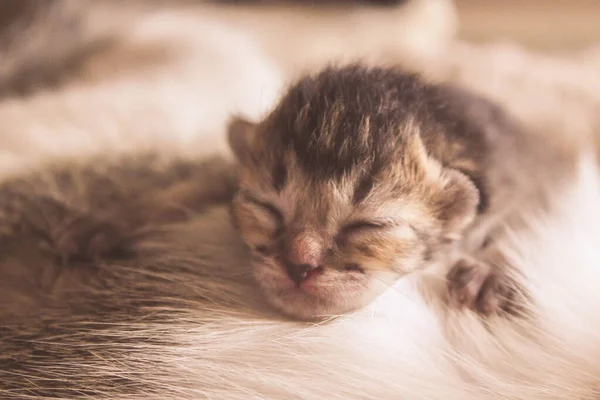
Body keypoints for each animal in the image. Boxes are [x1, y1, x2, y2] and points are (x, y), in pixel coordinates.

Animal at [227, 64, 556, 320]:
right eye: (266, 208)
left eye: (367, 226)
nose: (299, 266)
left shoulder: (521, 181)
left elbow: (523, 220)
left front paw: (489, 270)